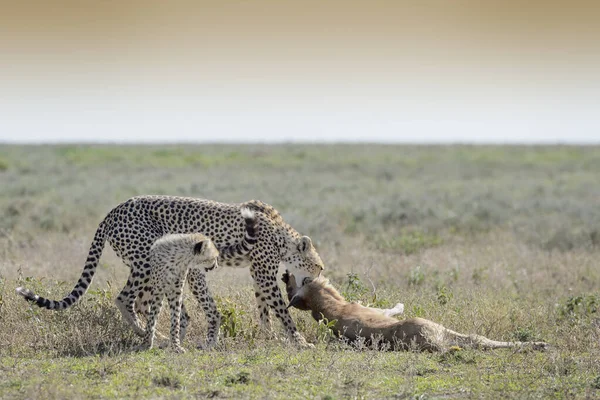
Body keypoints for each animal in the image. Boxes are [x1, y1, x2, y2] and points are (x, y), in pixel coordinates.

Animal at [17, 195, 324, 346]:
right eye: (318, 266)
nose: (320, 276)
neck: (281, 234)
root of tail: (113, 211)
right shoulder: (261, 272)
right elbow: (281, 310)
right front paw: (298, 341)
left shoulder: (258, 273)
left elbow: (263, 309)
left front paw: (270, 336)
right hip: (144, 260)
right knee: (126, 299)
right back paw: (152, 337)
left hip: (152, 265)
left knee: (145, 303)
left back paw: (162, 336)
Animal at [282, 272, 548, 350]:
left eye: (290, 285)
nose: (285, 276)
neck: (325, 305)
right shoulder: (372, 309)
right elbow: (390, 308)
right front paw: (400, 304)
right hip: (437, 327)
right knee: (475, 340)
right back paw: (539, 344)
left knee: (475, 341)